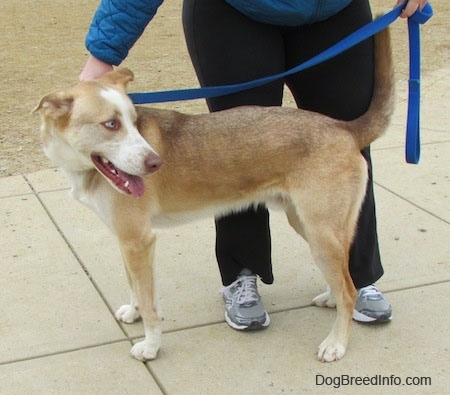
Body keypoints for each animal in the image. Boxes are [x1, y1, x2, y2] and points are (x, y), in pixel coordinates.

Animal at [33, 26, 394, 364]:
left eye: (134, 122)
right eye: (111, 124)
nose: (155, 162)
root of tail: (344, 128)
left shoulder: (138, 241)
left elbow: (151, 307)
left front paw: (150, 346)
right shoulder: (127, 241)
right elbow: (135, 288)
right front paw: (133, 313)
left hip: (321, 233)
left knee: (349, 290)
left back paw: (336, 343)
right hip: (309, 226)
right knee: (344, 278)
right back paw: (331, 298)